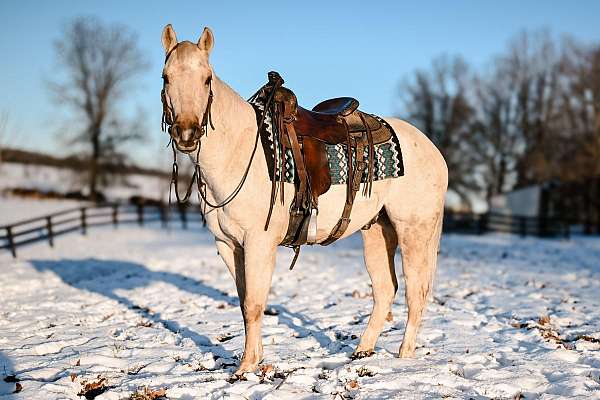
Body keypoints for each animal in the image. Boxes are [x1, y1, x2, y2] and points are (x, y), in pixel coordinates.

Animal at [159, 25, 446, 378]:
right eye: (166, 78)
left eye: (206, 78)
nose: (186, 133)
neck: (237, 150)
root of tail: (432, 149)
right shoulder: (228, 245)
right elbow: (244, 302)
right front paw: (256, 360)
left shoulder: (259, 243)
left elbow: (254, 304)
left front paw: (245, 368)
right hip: (378, 231)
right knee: (384, 289)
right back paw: (362, 351)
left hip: (414, 232)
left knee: (415, 292)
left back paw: (404, 358)